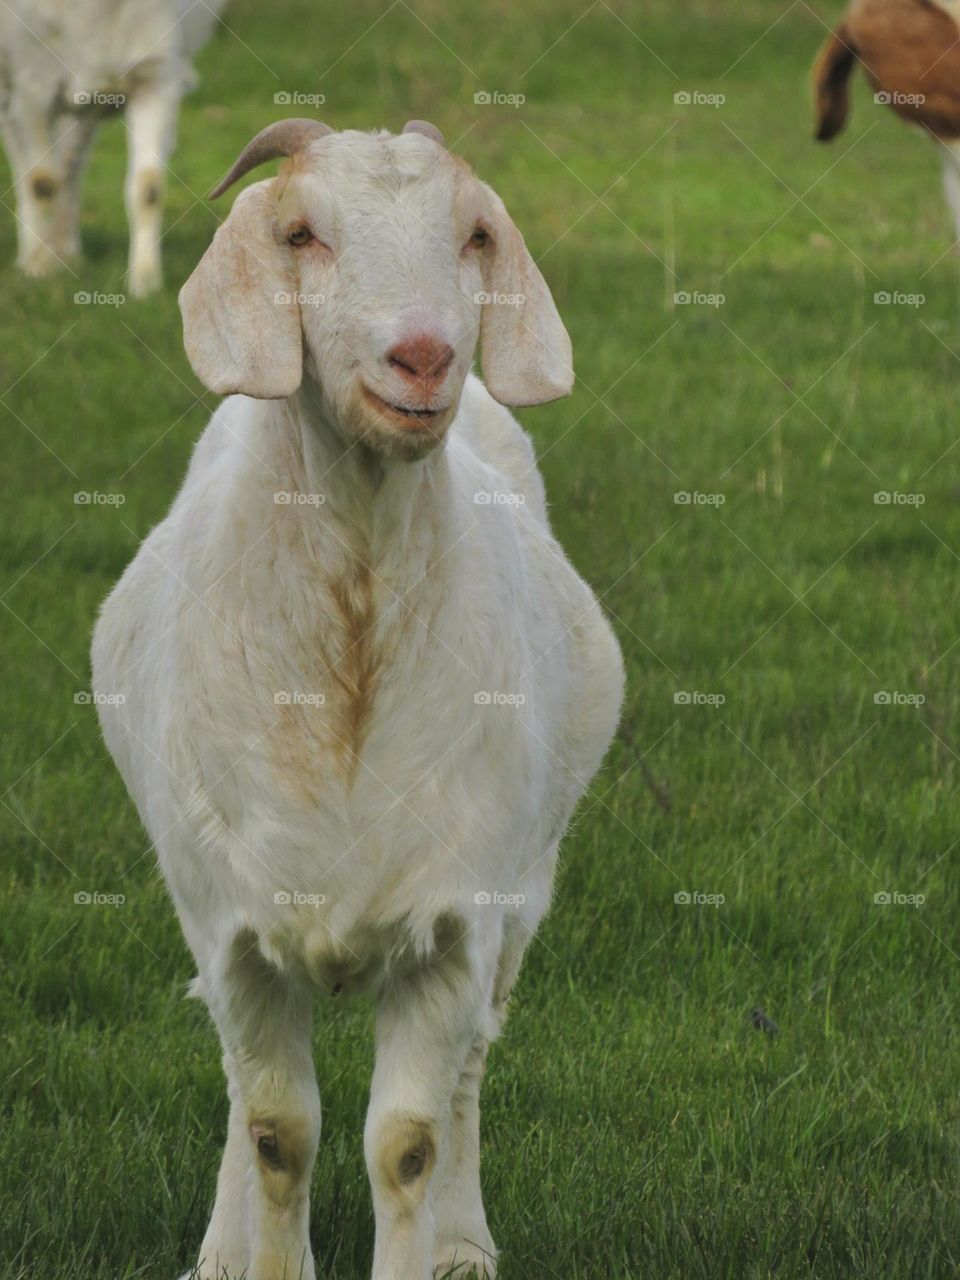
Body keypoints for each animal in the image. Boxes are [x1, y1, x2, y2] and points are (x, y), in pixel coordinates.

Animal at [0, 0, 226, 295]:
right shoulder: (33, 87)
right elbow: (42, 184)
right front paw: (40, 269)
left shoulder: (155, 77)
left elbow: (148, 188)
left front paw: (145, 282)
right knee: (24, 164)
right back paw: (33, 255)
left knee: (71, 162)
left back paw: (66, 251)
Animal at [92, 118, 625, 1280]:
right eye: (300, 233)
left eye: (475, 234)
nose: (424, 357)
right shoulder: (233, 930)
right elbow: (275, 1131)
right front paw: (260, 1254)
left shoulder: (458, 924)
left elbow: (408, 1141)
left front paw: (430, 1236)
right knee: (239, 1089)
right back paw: (220, 1247)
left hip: (525, 893)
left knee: (471, 1070)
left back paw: (464, 1241)